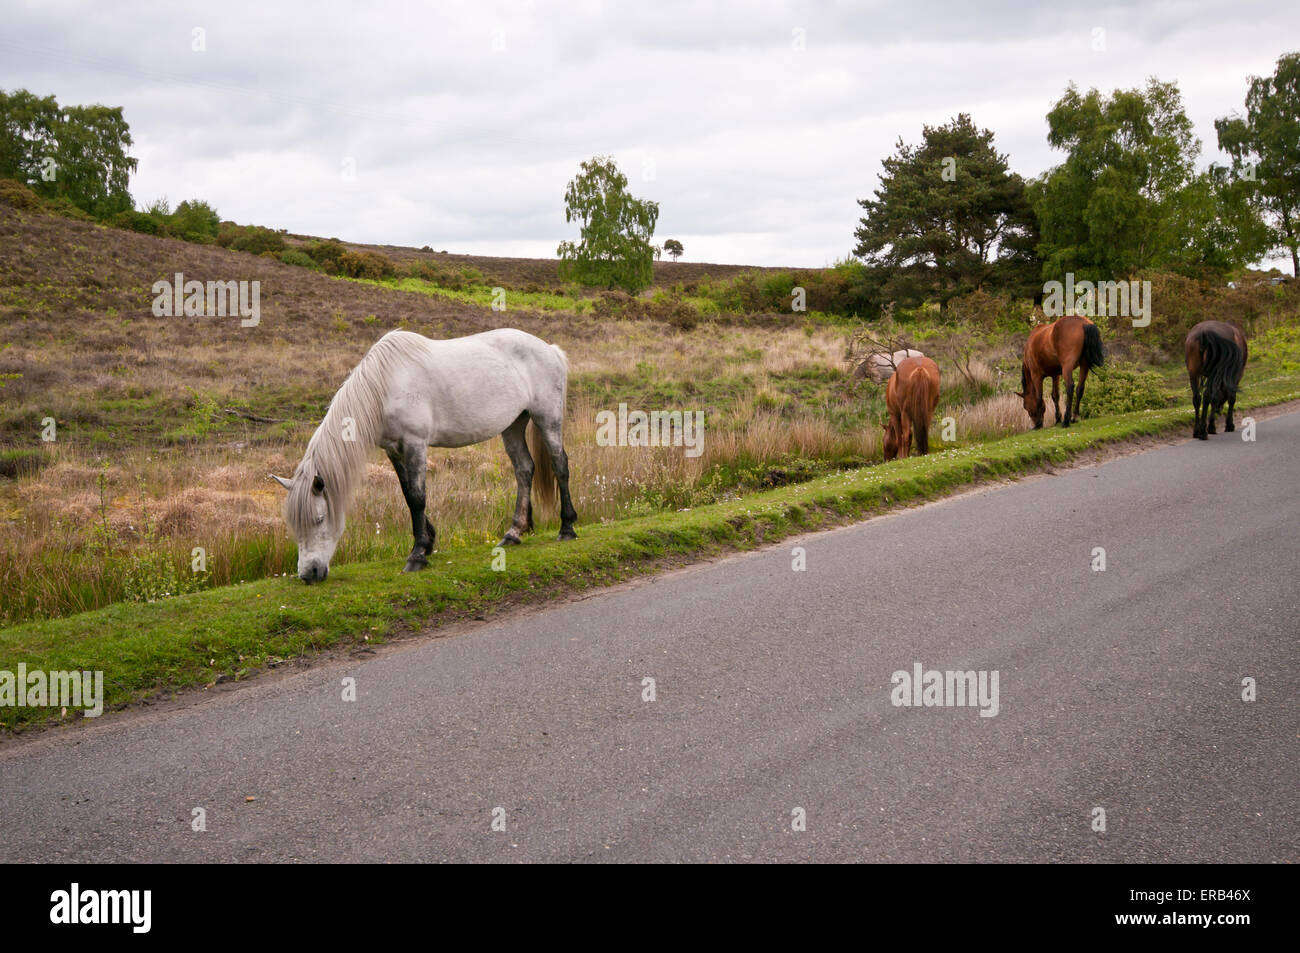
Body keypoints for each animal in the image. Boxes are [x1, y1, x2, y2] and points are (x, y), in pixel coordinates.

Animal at [273, 327, 574, 579]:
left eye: (319, 519)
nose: (308, 574)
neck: (384, 385)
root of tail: (550, 349)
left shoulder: (415, 444)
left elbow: (418, 497)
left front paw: (417, 556)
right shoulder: (394, 450)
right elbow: (408, 495)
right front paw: (427, 542)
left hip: (547, 418)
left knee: (560, 464)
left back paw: (567, 528)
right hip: (513, 425)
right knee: (524, 469)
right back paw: (514, 532)